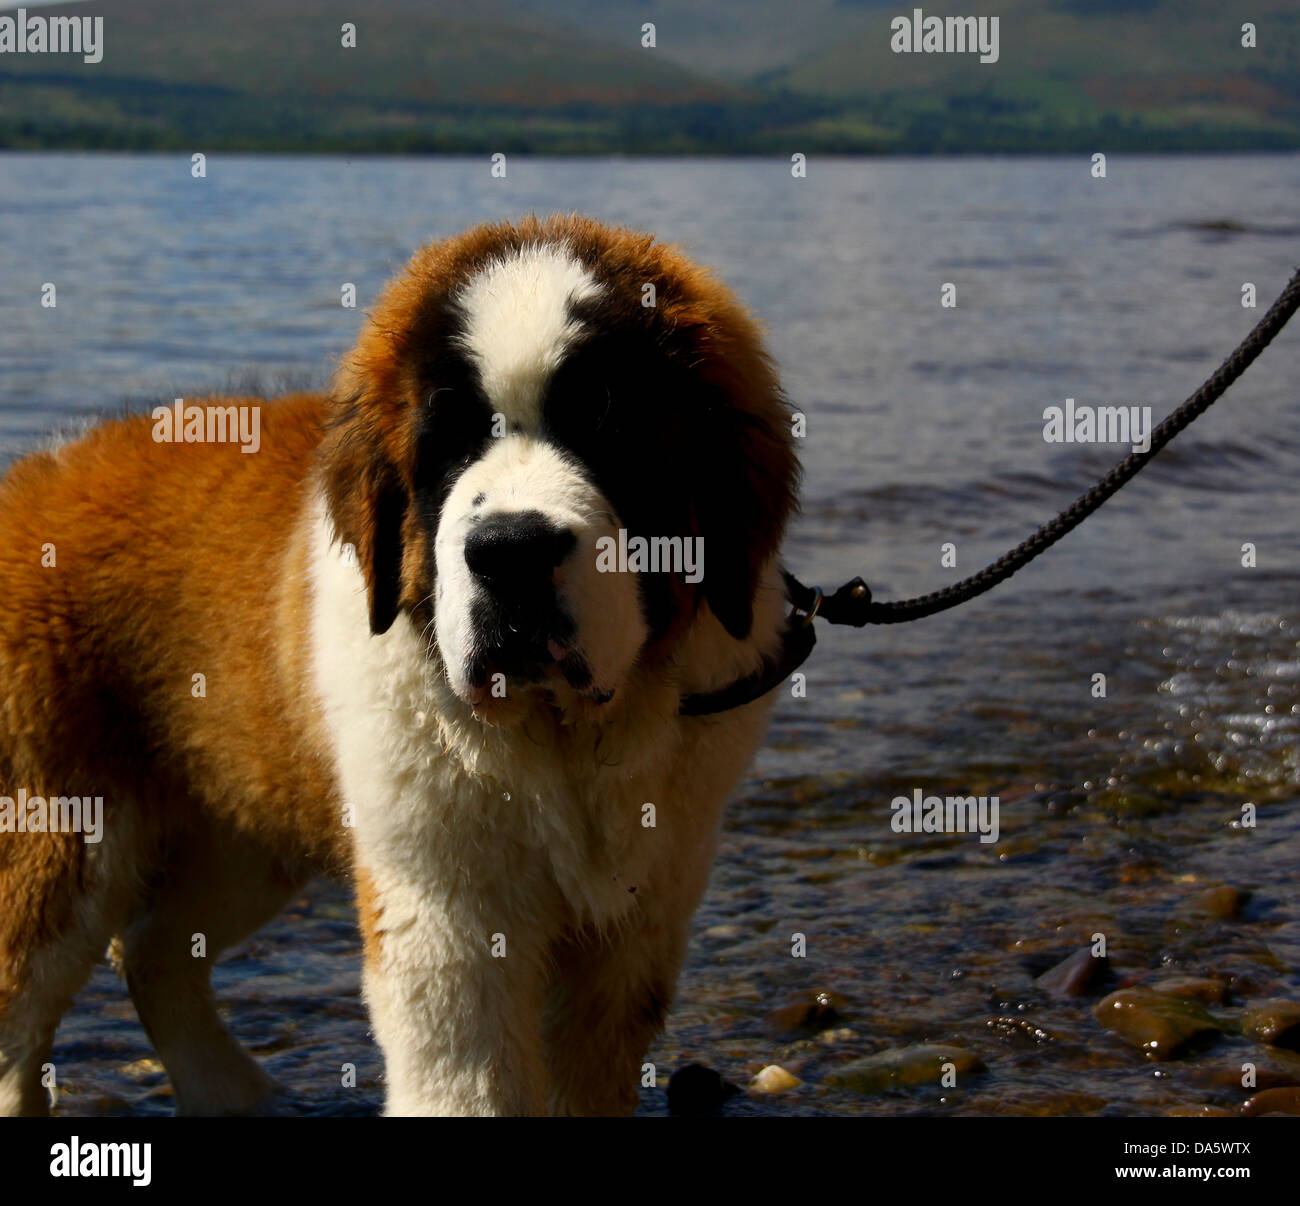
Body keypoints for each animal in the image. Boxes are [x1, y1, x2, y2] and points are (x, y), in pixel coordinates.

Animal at [0, 211, 795, 1117]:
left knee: (153, 946)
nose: (512, 552)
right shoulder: (444, 912)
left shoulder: (642, 911)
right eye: (447, 445)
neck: (557, 734)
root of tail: (33, 478)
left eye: (611, 429)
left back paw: (235, 1091)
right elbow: (466, 1080)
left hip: (248, 819)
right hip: (63, 833)